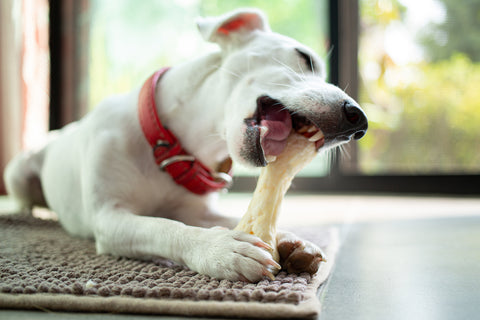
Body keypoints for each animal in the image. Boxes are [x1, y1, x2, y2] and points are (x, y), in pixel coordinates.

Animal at [2, 8, 368, 282]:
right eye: (304, 57)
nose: (359, 121)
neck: (175, 146)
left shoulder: (199, 211)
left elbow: (227, 216)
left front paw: (291, 238)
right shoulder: (109, 218)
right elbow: (164, 227)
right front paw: (221, 248)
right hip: (17, 173)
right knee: (24, 201)